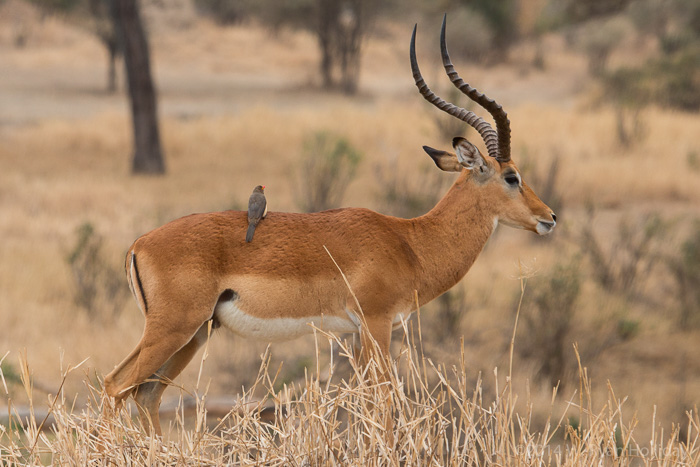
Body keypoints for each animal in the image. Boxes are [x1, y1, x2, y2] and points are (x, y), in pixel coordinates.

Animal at [104, 18, 556, 435]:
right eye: (512, 176)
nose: (549, 218)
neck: (410, 242)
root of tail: (139, 244)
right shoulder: (376, 324)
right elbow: (384, 399)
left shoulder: (357, 333)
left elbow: (368, 400)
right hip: (173, 327)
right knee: (115, 385)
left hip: (195, 332)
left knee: (145, 394)